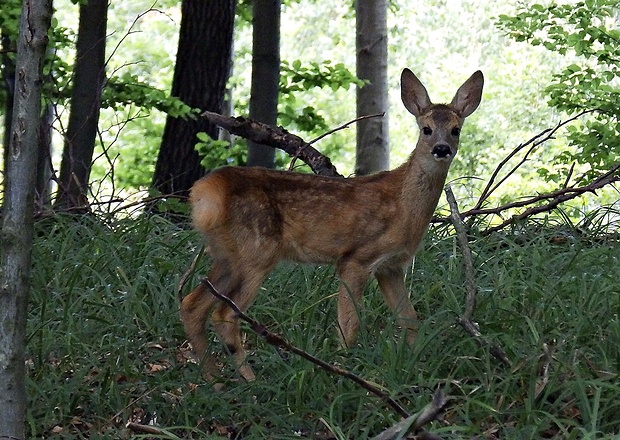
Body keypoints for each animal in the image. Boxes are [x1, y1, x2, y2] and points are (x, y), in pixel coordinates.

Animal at [180, 69, 484, 382]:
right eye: (426, 129)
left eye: (455, 129)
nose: (441, 149)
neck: (403, 205)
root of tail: (207, 192)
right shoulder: (356, 258)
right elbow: (349, 324)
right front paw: (344, 371)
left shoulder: (391, 266)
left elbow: (410, 319)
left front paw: (415, 366)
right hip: (257, 252)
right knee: (224, 314)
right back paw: (250, 381)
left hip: (226, 255)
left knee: (192, 305)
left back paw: (213, 380)